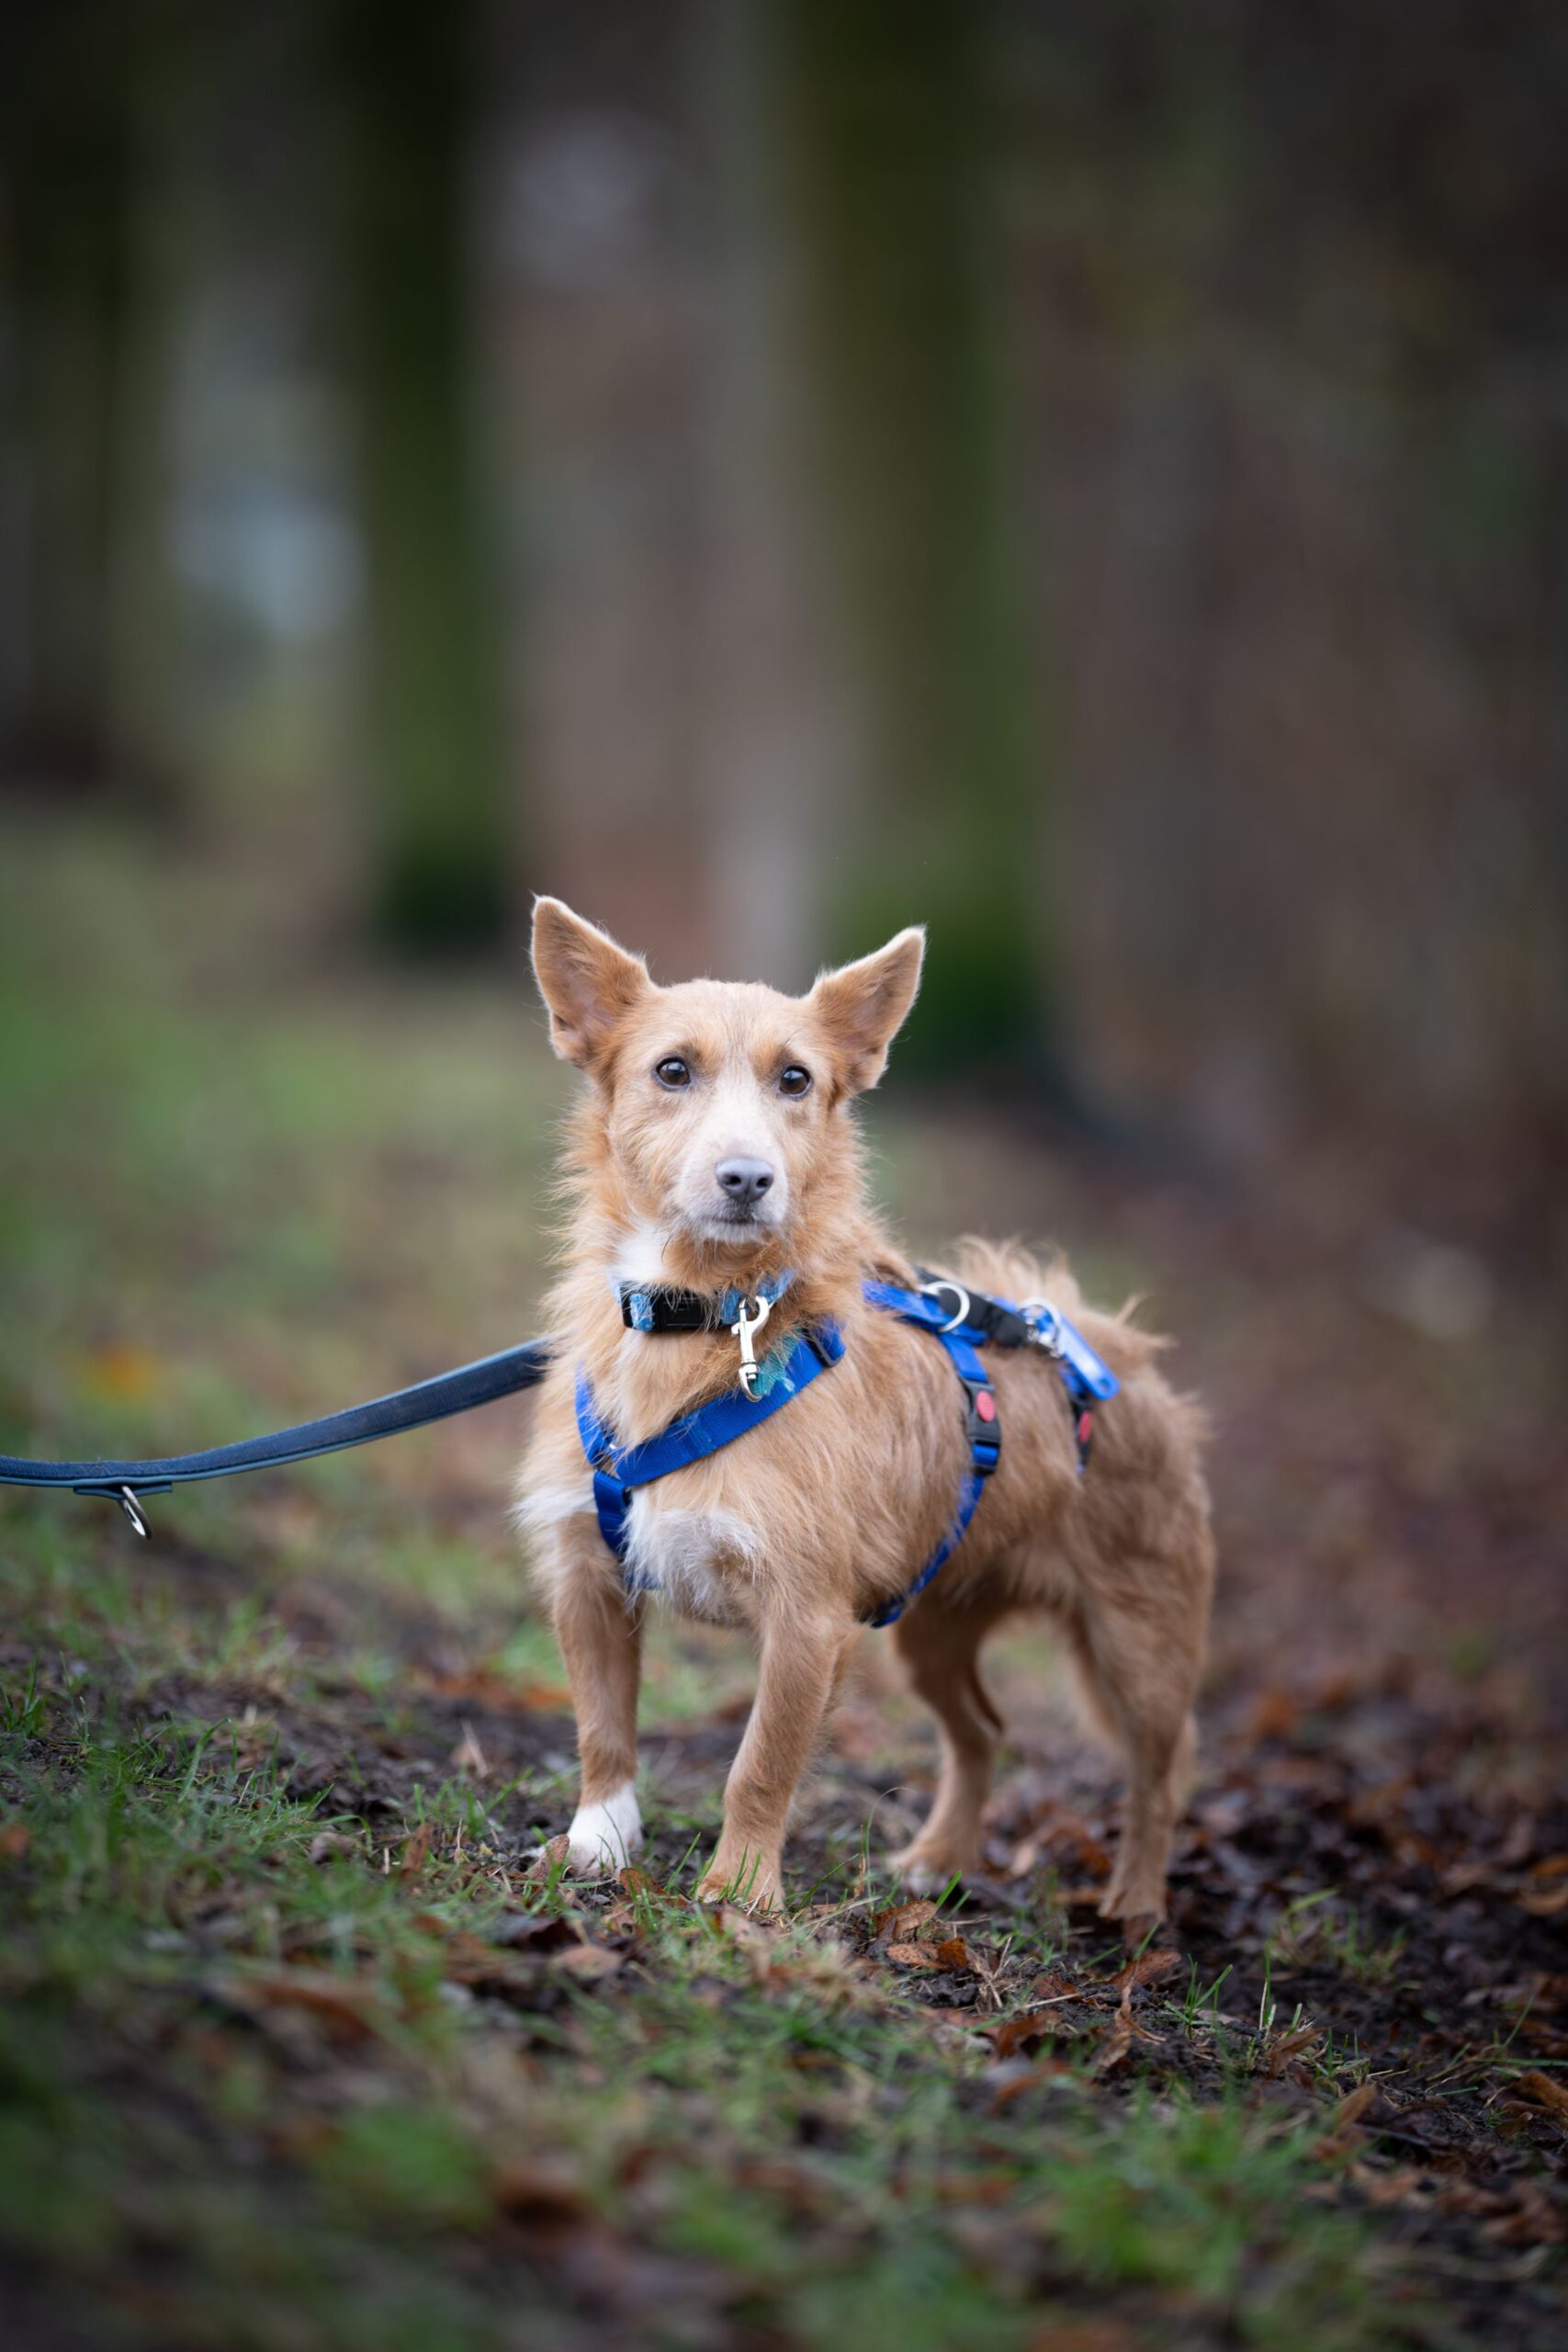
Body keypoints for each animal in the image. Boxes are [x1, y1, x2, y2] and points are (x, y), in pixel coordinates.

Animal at [518, 898, 1214, 1922]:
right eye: (672, 1070)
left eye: (796, 1079)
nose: (747, 1178)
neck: (706, 1318)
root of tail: (1102, 1344)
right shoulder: (589, 1580)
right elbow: (603, 1732)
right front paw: (597, 1846)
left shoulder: (806, 1618)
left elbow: (760, 1764)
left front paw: (740, 1895)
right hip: (931, 1627)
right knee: (982, 1731)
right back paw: (939, 1859)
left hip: (1139, 1642)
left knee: (1159, 1769)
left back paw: (1134, 1902)